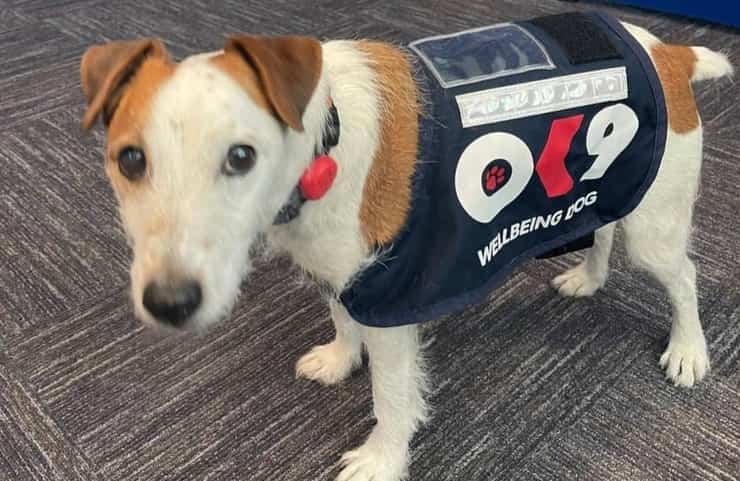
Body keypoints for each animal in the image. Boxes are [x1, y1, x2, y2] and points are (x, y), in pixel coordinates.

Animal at [81, 11, 736, 480]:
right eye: (130, 160)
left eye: (241, 156)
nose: (168, 303)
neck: (325, 137)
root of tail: (666, 53)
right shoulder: (347, 277)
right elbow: (341, 320)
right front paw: (341, 358)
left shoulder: (394, 302)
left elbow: (393, 398)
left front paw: (381, 460)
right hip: (602, 192)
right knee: (600, 229)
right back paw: (589, 278)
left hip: (655, 231)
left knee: (684, 278)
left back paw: (688, 349)